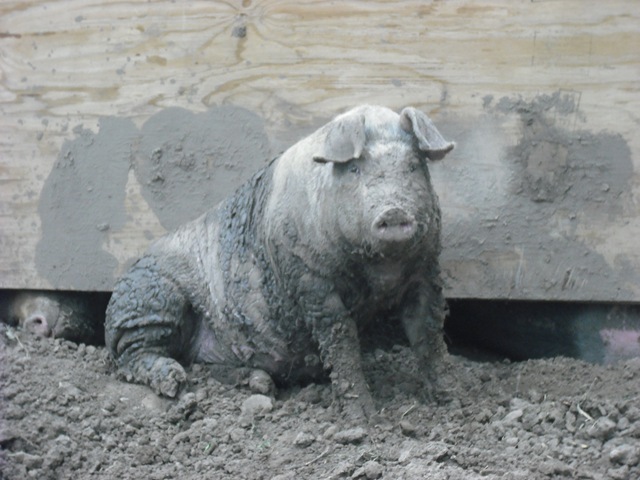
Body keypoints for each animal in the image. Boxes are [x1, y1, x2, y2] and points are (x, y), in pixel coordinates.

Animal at [105, 105, 455, 419]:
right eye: (356, 170)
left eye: (413, 166)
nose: (393, 212)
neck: (380, 269)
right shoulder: (310, 281)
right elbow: (341, 343)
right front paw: (365, 418)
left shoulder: (425, 271)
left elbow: (428, 334)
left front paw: (449, 401)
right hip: (150, 301)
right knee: (132, 355)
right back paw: (174, 381)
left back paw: (258, 383)